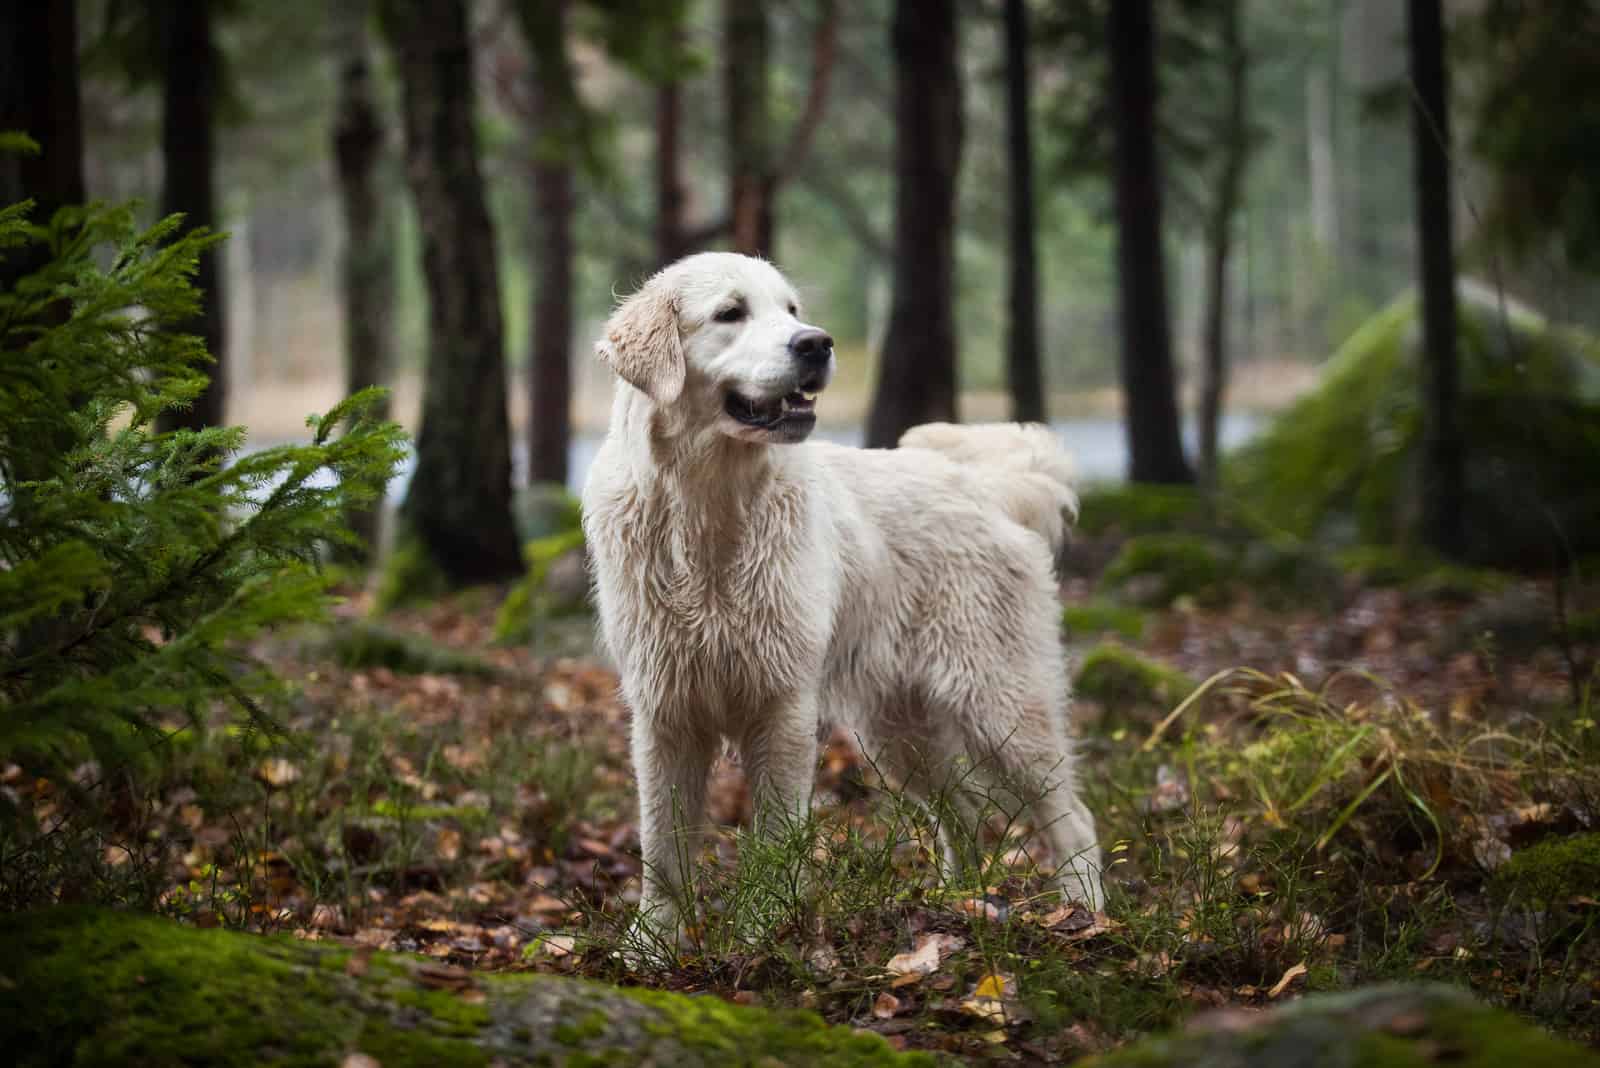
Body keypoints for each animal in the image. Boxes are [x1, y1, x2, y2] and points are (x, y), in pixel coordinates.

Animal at [582, 251, 1107, 933]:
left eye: (791, 310)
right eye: (730, 313)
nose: (816, 343)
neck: (706, 509)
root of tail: (982, 485)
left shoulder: (782, 705)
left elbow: (776, 834)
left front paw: (766, 930)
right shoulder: (665, 711)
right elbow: (663, 850)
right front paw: (652, 942)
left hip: (1001, 705)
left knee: (1071, 816)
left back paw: (1086, 912)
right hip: (898, 731)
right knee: (964, 808)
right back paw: (956, 901)